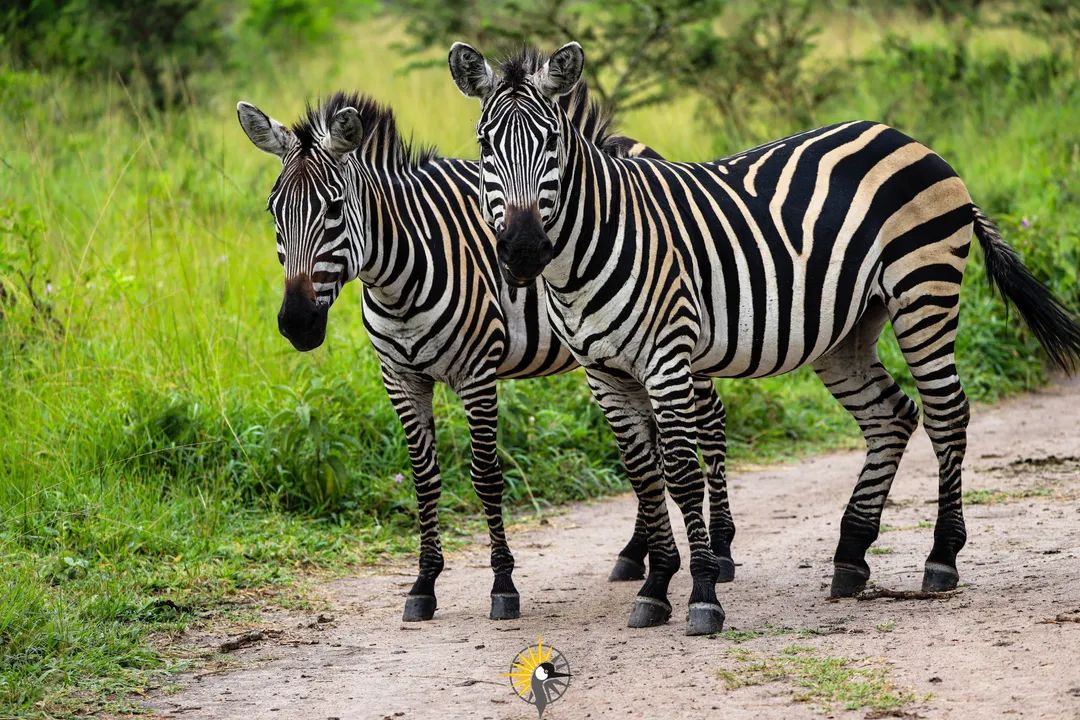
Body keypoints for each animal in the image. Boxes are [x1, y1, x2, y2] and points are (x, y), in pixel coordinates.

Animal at [237, 83, 738, 626]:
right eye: (273, 212)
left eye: (333, 208)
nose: (297, 323)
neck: (400, 273)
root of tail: (636, 145)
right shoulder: (400, 378)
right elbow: (423, 478)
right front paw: (424, 583)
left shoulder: (477, 373)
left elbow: (486, 476)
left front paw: (502, 584)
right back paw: (634, 554)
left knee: (710, 420)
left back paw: (721, 551)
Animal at [447, 40, 1080, 634]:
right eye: (483, 147)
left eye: (552, 143)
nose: (522, 251)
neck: (591, 246)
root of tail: (906, 137)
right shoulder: (603, 374)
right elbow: (645, 476)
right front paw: (655, 586)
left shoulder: (668, 359)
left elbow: (680, 473)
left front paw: (702, 594)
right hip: (848, 330)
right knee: (890, 415)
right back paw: (851, 554)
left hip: (923, 289)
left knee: (947, 412)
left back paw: (941, 557)